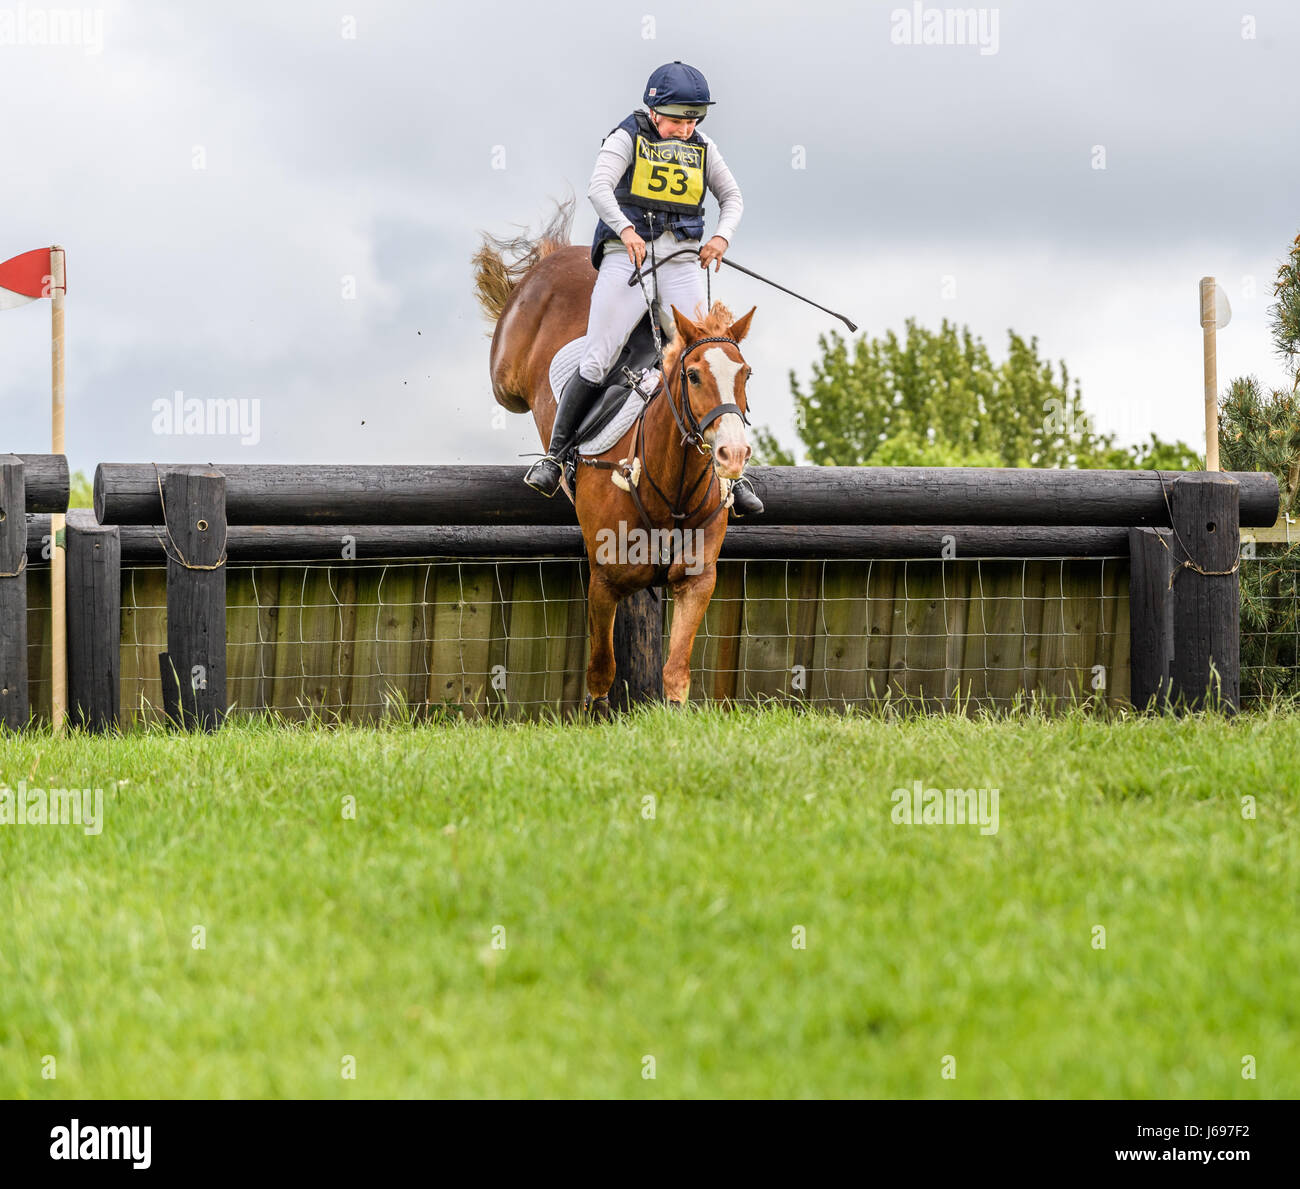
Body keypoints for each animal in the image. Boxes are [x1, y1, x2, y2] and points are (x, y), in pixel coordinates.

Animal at [473, 201, 759, 712]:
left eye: (745, 373)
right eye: (692, 376)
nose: (733, 454)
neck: (671, 491)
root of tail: (558, 254)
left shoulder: (697, 583)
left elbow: (676, 672)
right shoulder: (604, 583)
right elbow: (601, 672)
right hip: (507, 377)